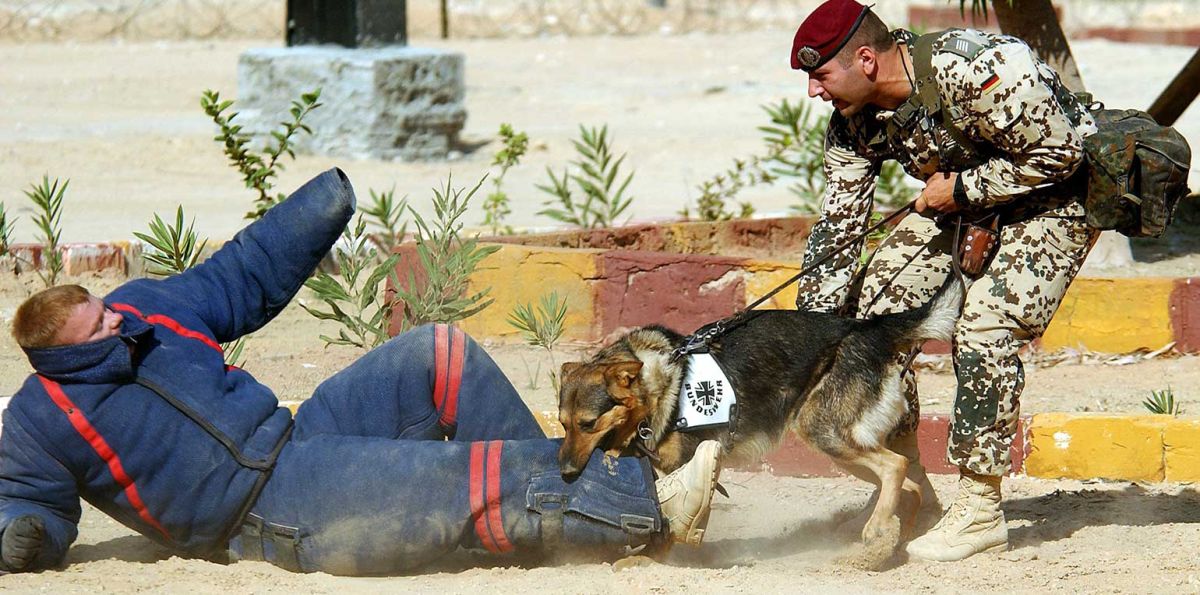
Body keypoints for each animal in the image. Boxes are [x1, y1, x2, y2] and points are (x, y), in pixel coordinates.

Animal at [559, 280, 964, 559]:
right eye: (563, 424)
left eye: (587, 424)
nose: (564, 473)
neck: (659, 382)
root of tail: (867, 329)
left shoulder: (684, 463)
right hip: (843, 447)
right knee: (908, 483)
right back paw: (890, 540)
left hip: (823, 432)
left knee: (895, 466)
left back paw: (878, 530)